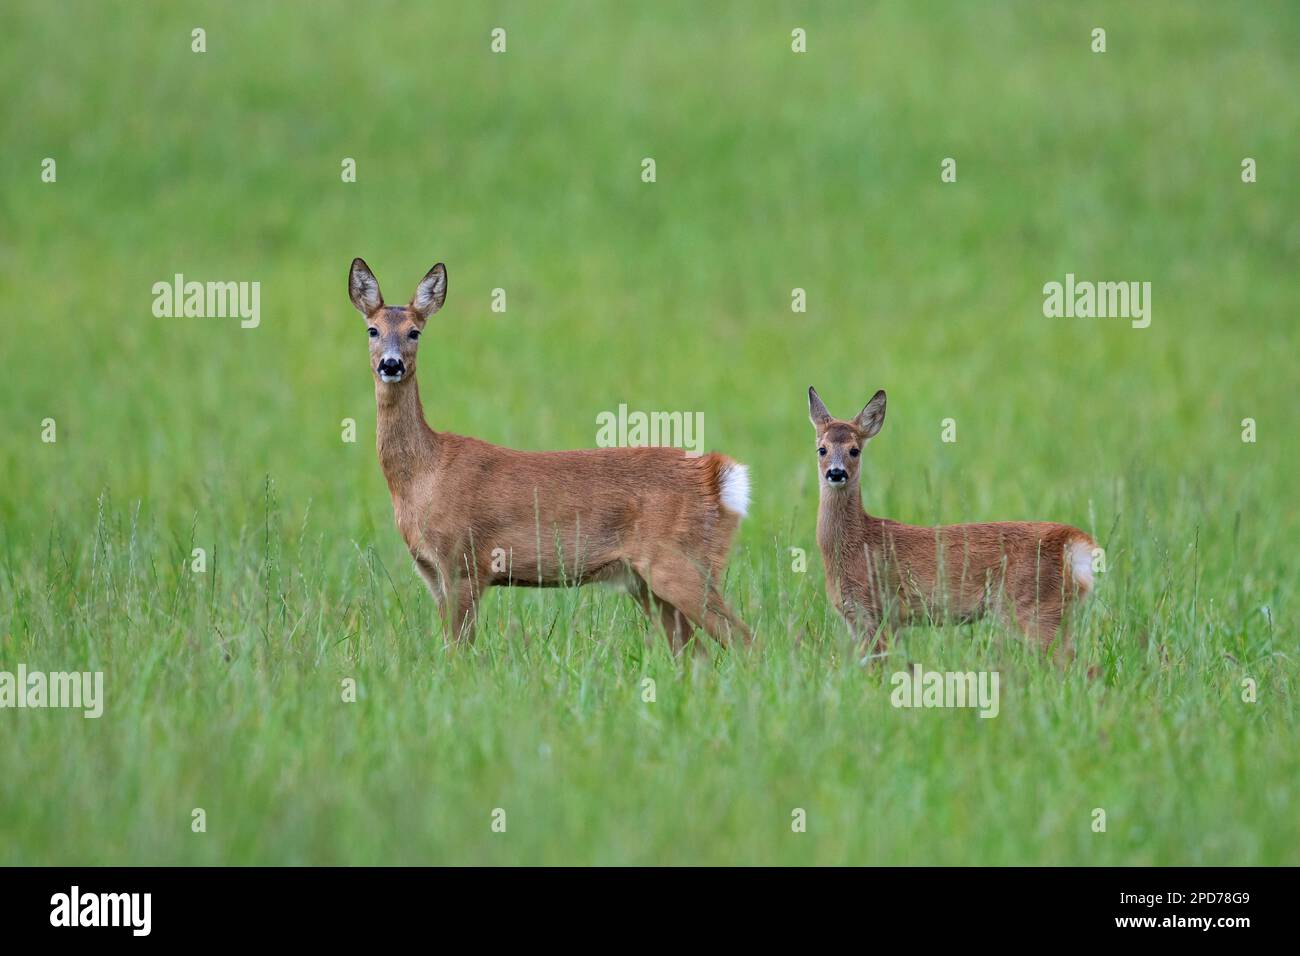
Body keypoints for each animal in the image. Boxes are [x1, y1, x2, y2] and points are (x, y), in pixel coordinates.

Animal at [348, 257, 754, 650]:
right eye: (373, 330)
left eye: (414, 332)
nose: (391, 364)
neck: (424, 475)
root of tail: (718, 477)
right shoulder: (431, 570)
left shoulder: (463, 561)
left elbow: (460, 653)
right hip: (645, 581)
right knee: (696, 654)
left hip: (684, 562)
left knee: (746, 640)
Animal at [800, 385, 1097, 660]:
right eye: (821, 449)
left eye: (855, 450)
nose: (836, 473)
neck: (855, 542)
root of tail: (1073, 543)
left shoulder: (874, 610)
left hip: (1034, 607)